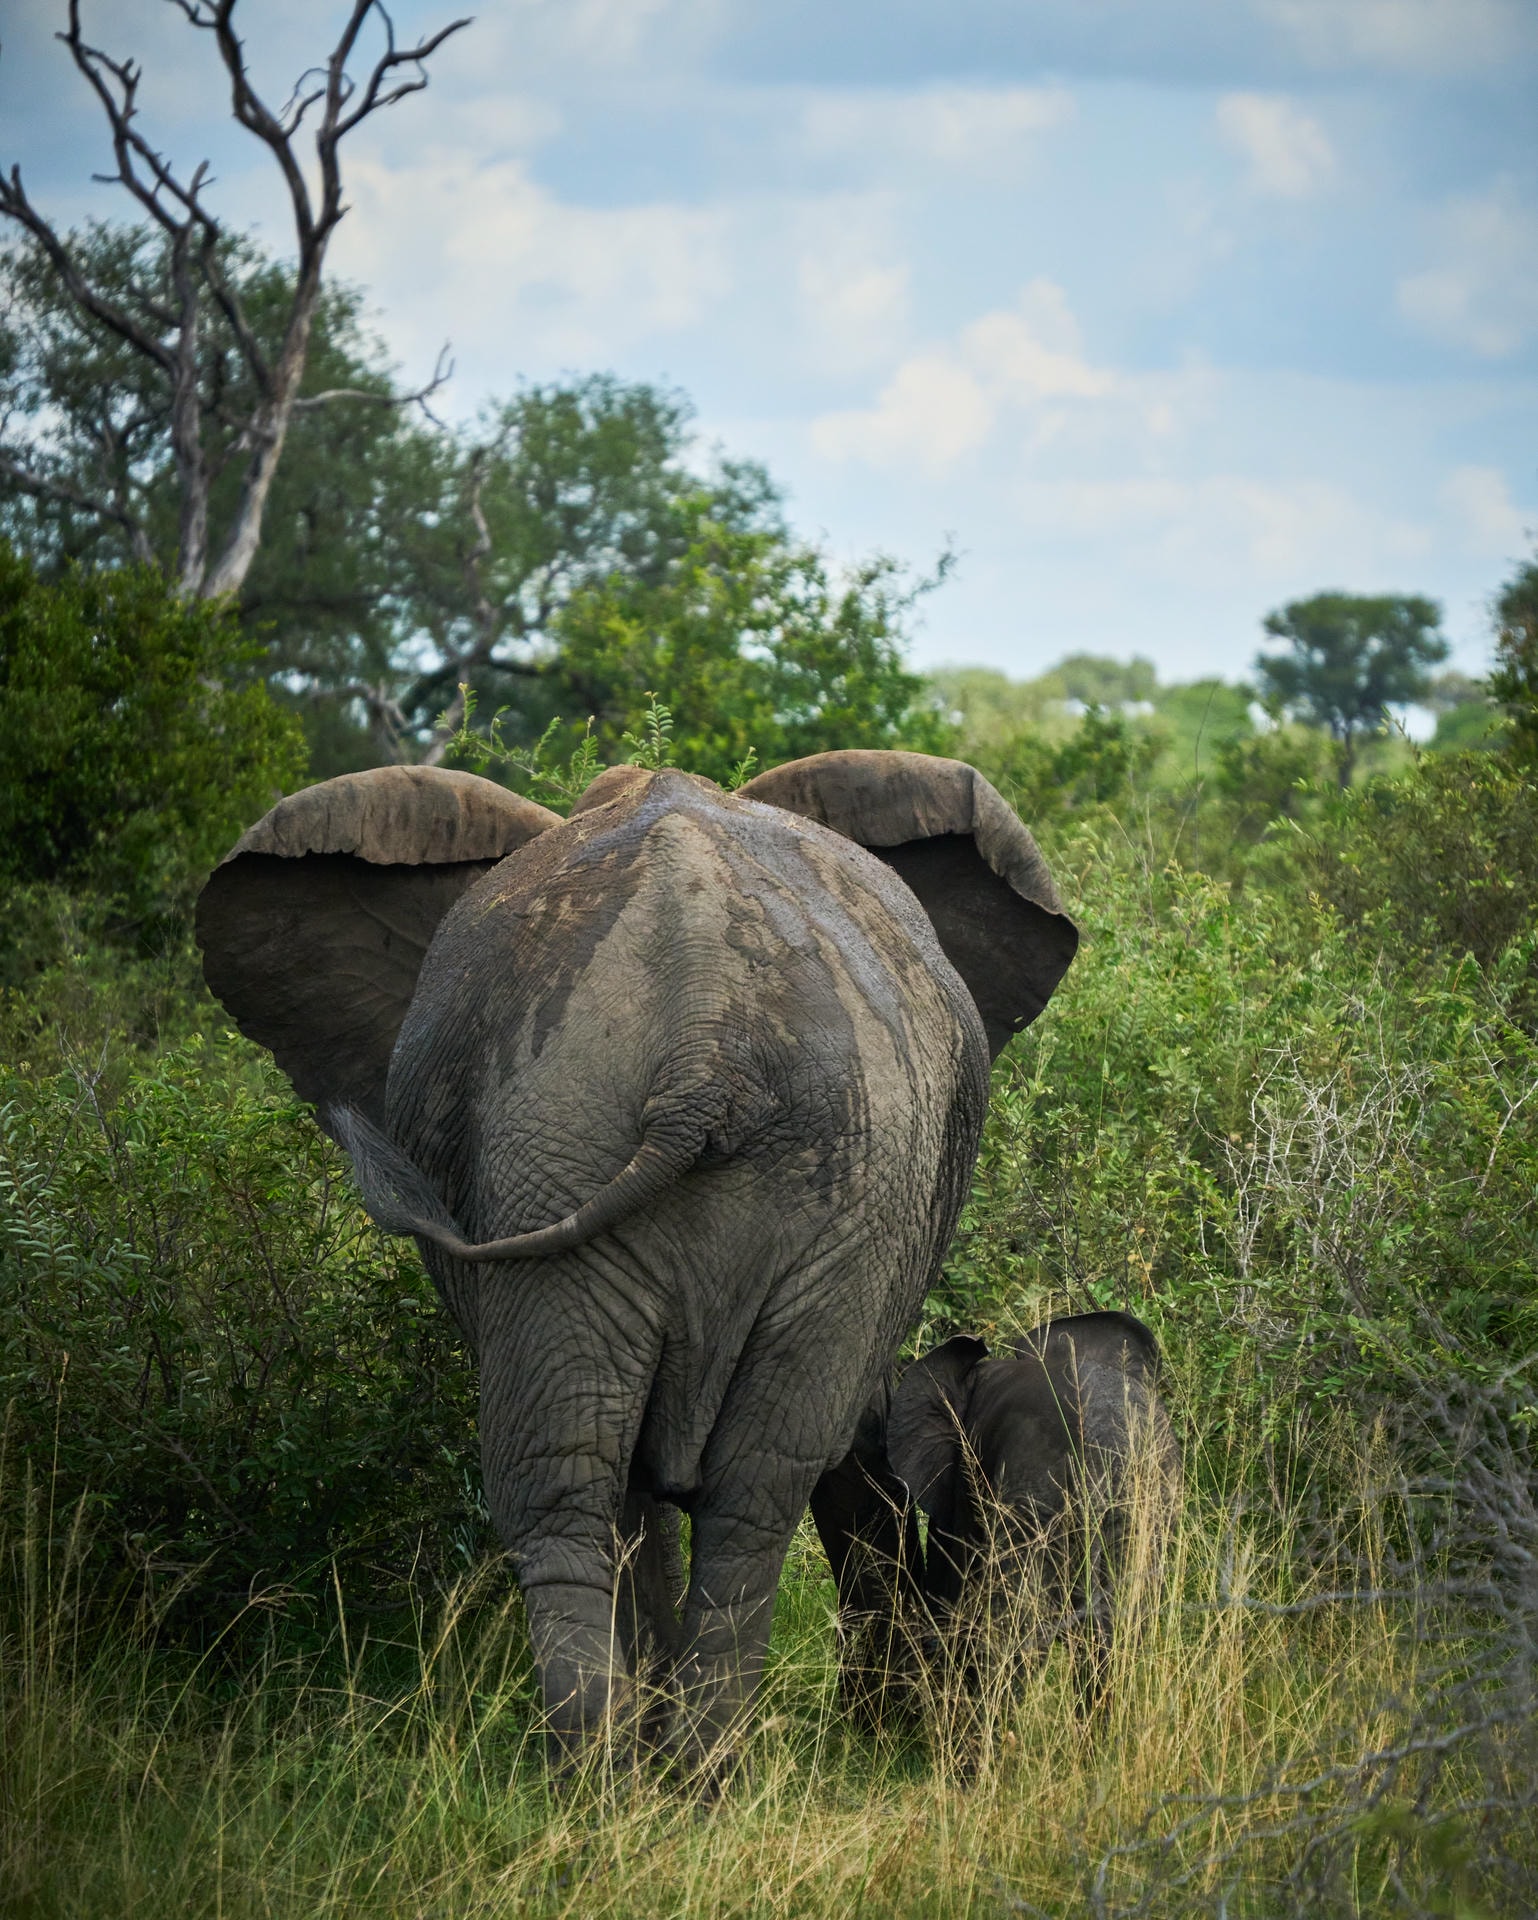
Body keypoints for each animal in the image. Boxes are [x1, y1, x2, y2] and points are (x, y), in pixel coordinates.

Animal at [194, 749, 1077, 1768]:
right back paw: (650, 1772)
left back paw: (626, 1772)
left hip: (662, 1157)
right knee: (687, 1481)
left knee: (622, 1478)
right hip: (628, 1148)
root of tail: (703, 1028)